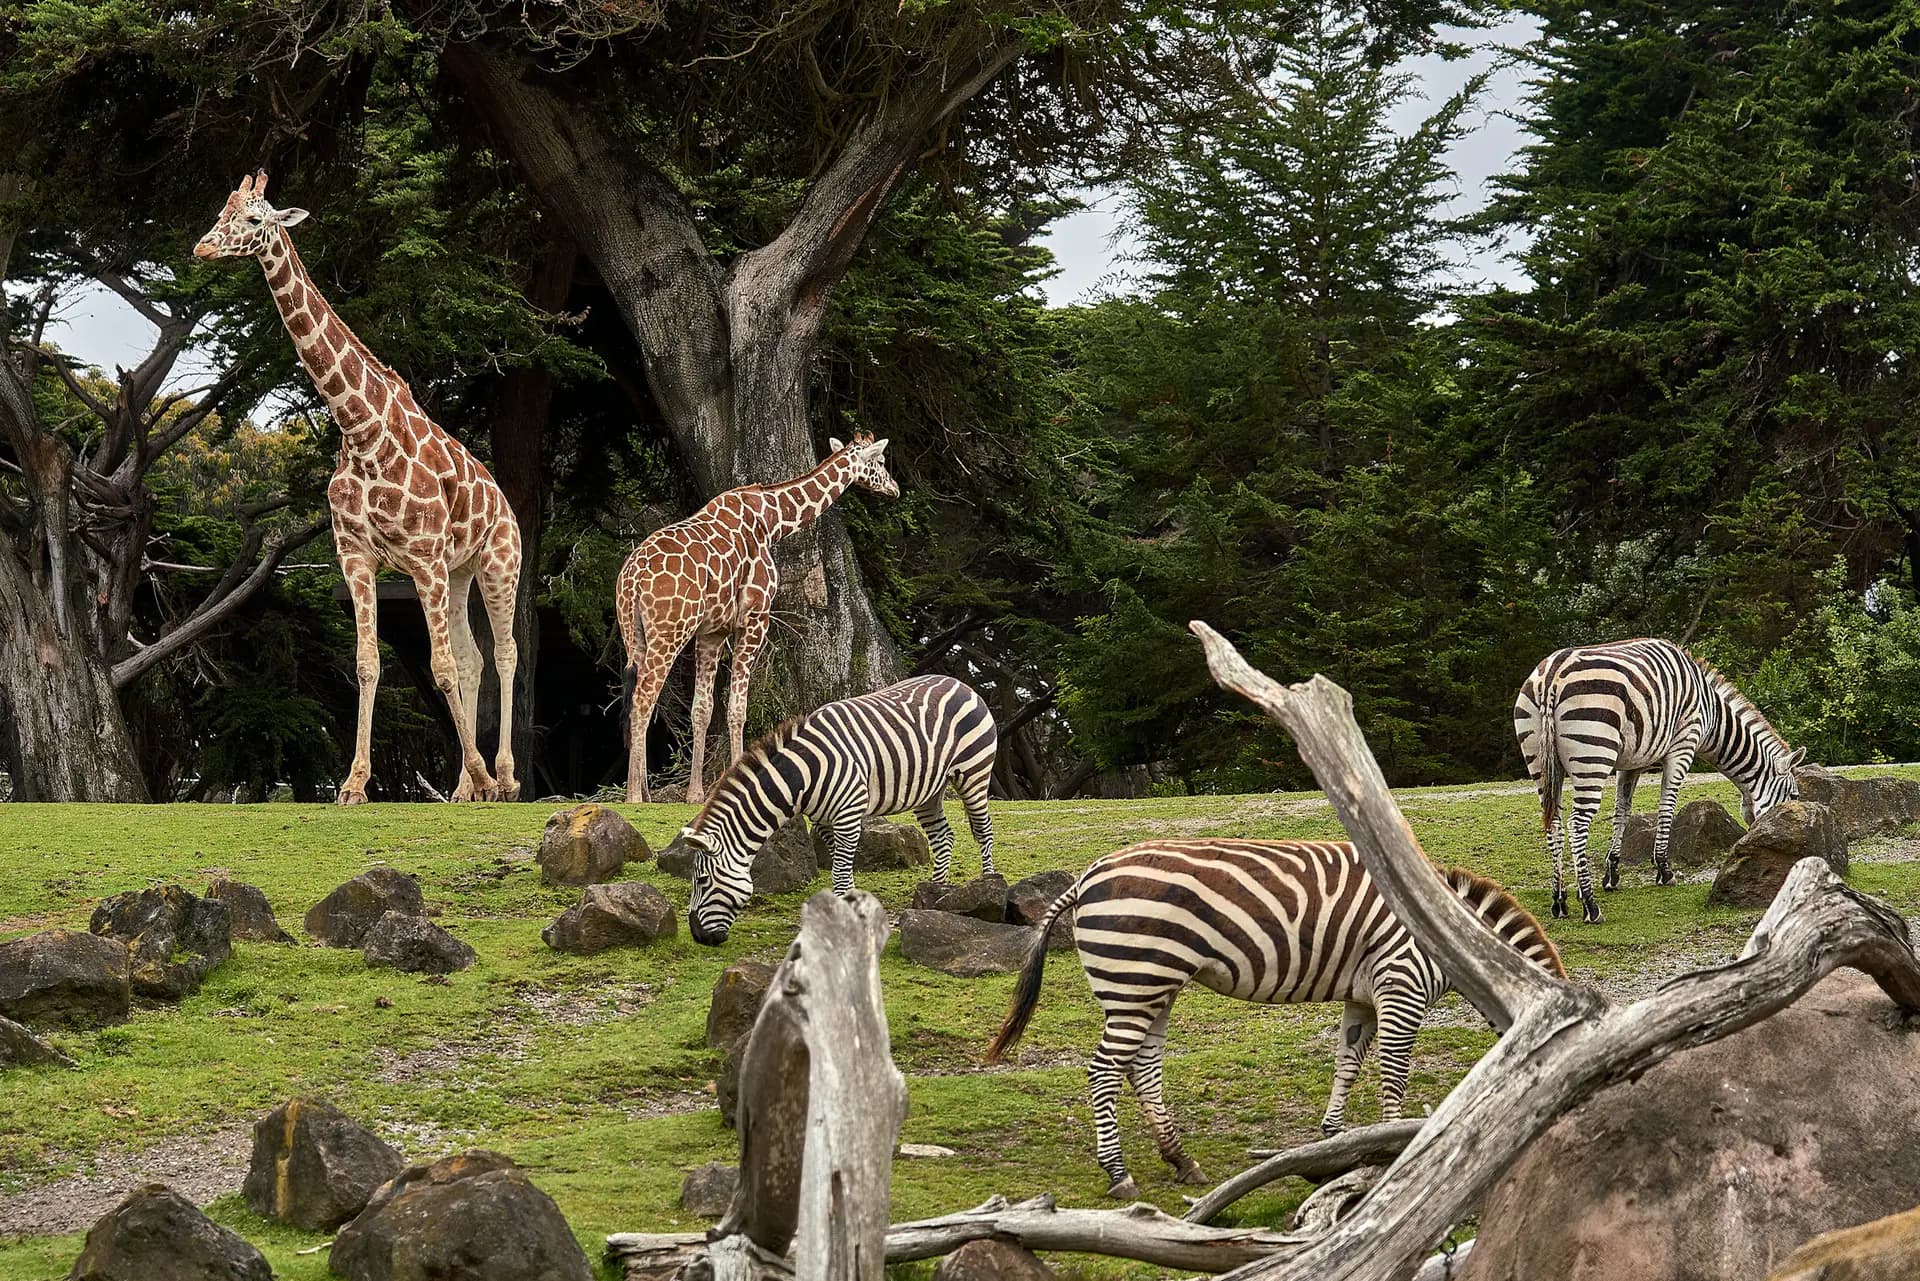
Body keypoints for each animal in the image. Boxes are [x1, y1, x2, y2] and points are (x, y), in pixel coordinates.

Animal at [194, 171, 523, 804]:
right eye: (221, 210)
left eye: (254, 219)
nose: (201, 248)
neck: (360, 428)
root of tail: (504, 503)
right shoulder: (356, 555)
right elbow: (370, 662)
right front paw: (353, 783)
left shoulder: (422, 558)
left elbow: (440, 666)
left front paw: (479, 774)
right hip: (460, 571)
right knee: (473, 657)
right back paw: (467, 787)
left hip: (499, 562)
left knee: (504, 652)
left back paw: (504, 776)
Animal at [616, 433, 899, 804]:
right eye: (879, 461)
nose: (895, 488)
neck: (772, 521)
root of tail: (633, 577)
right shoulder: (754, 618)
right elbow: (738, 707)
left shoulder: (713, 631)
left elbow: (702, 709)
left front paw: (695, 793)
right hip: (670, 632)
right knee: (643, 698)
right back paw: (634, 796)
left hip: (633, 632)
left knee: (637, 698)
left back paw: (644, 792)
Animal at [659, 674, 998, 945]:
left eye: (702, 881)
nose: (699, 937)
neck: (802, 776)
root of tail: (959, 683)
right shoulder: (823, 821)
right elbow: (840, 865)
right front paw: (848, 905)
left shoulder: (848, 814)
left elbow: (840, 871)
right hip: (929, 790)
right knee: (943, 837)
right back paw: (935, 891)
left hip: (974, 772)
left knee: (983, 830)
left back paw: (987, 886)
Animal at [984, 838, 1562, 1199]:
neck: (1452, 938)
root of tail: (1087, 876)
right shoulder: (1401, 984)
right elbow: (1393, 1073)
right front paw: (1398, 1145)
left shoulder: (1364, 995)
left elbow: (1348, 1061)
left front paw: (1333, 1138)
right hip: (1136, 979)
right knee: (1104, 1071)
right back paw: (1119, 1173)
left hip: (1149, 987)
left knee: (1142, 1068)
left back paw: (1180, 1160)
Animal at [1514, 637, 1804, 924]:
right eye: (1794, 797)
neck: (1711, 714)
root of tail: (1551, 675)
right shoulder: (1683, 746)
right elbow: (1667, 808)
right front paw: (1664, 870)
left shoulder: (1631, 762)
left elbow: (1622, 812)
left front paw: (1612, 874)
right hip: (1593, 754)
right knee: (1576, 825)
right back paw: (1590, 904)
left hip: (1540, 762)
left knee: (1554, 824)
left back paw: (1559, 900)